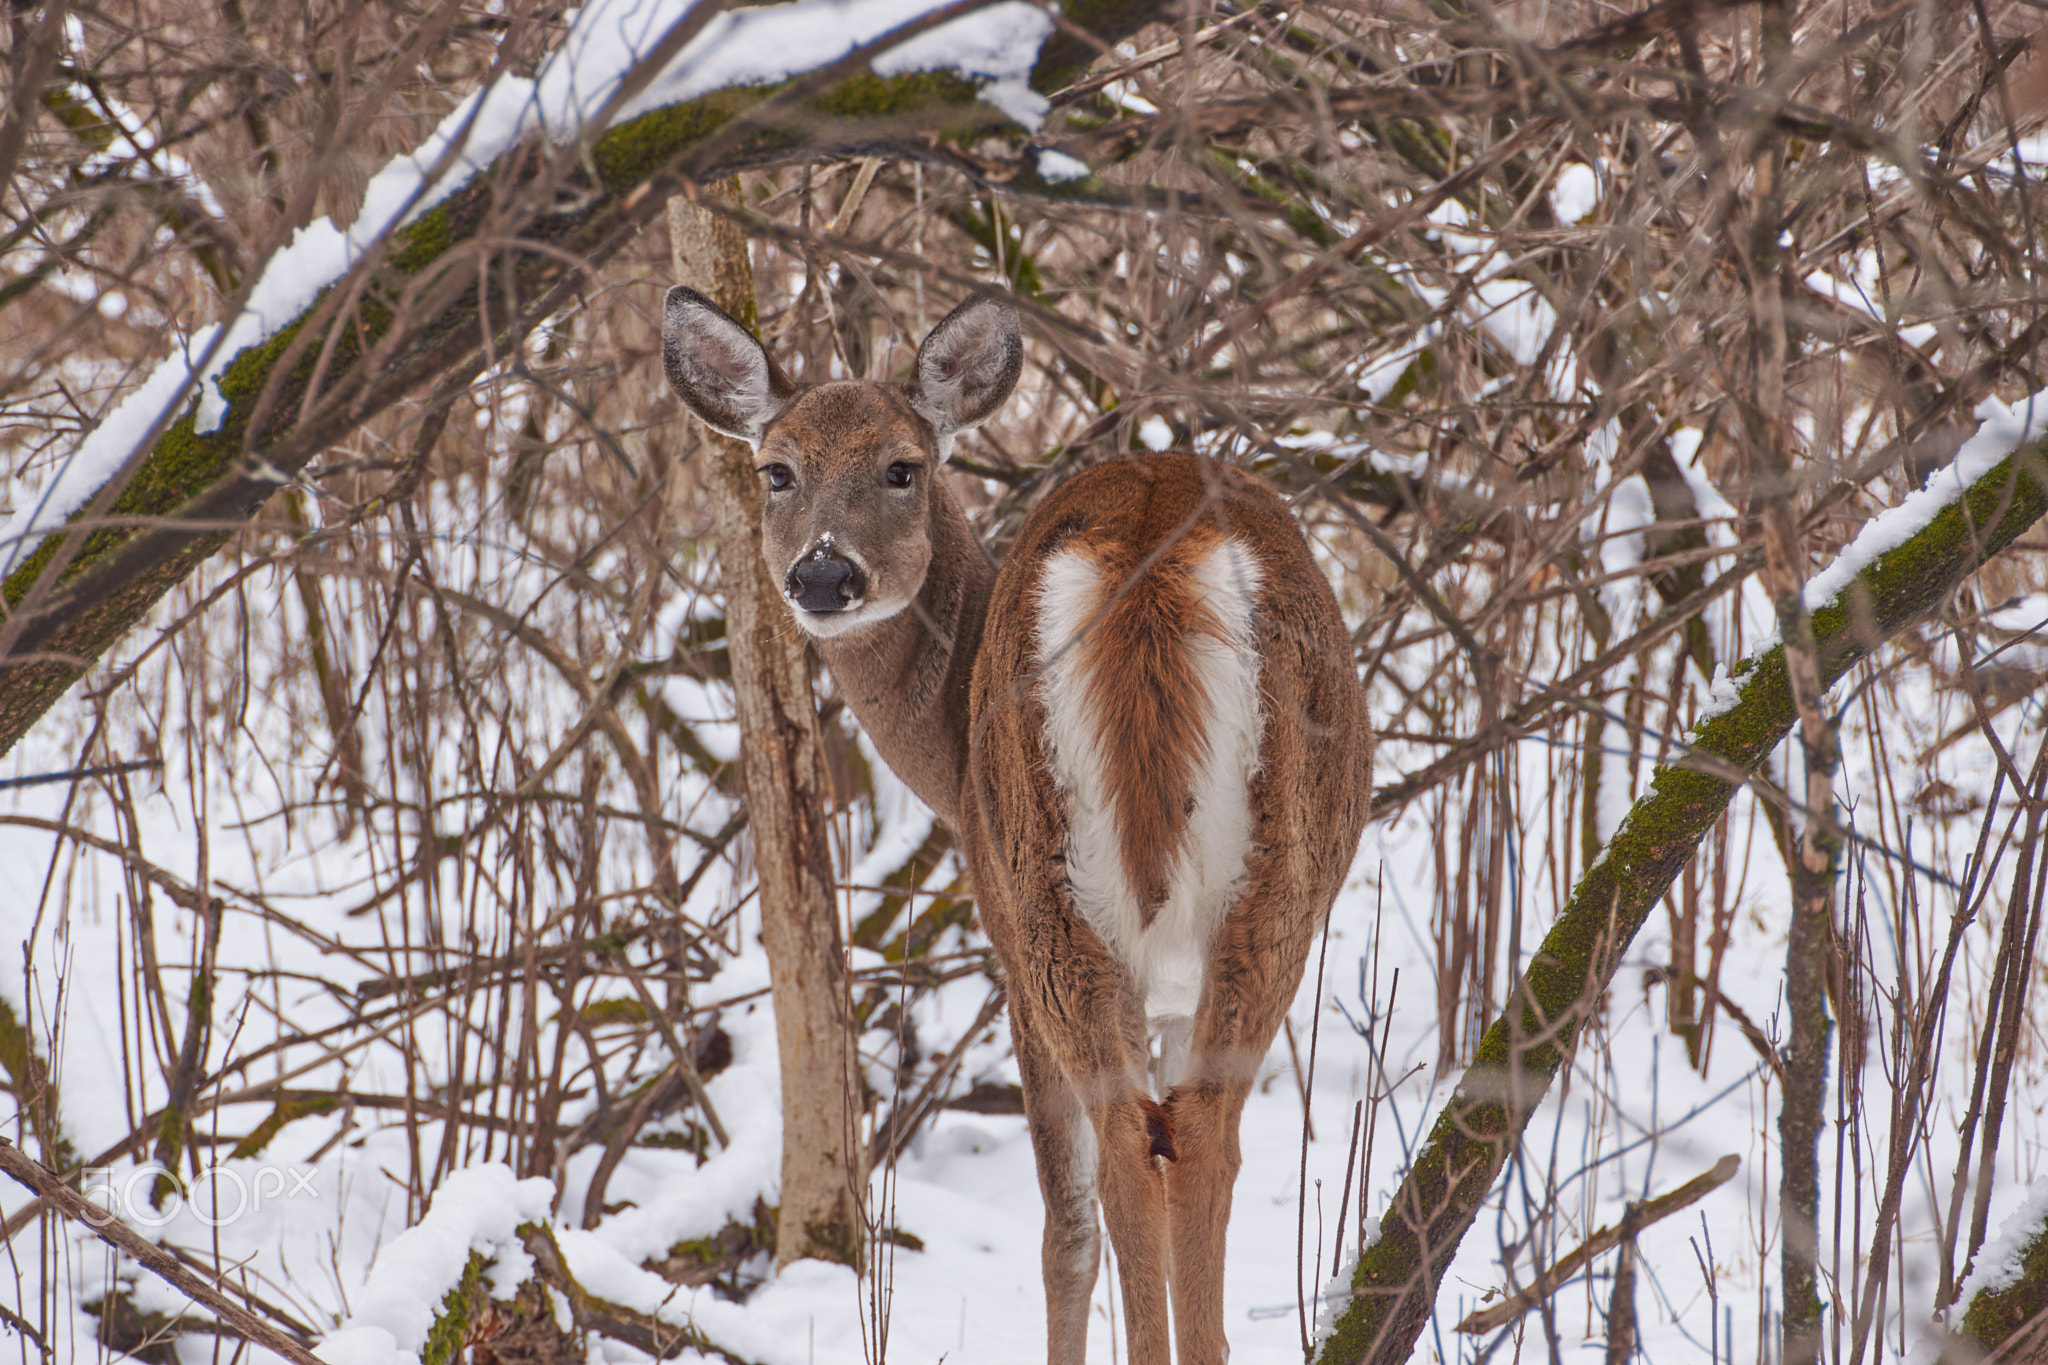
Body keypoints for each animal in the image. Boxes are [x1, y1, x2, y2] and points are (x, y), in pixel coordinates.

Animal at [663, 286, 1376, 1365]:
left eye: (902, 466)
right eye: (776, 470)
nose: (823, 578)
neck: (946, 746)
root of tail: (1148, 564)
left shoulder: (1003, 934)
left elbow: (1067, 1225)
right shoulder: (1169, 986)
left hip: (1045, 901)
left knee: (1117, 1167)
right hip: (1262, 888)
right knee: (1196, 1137)